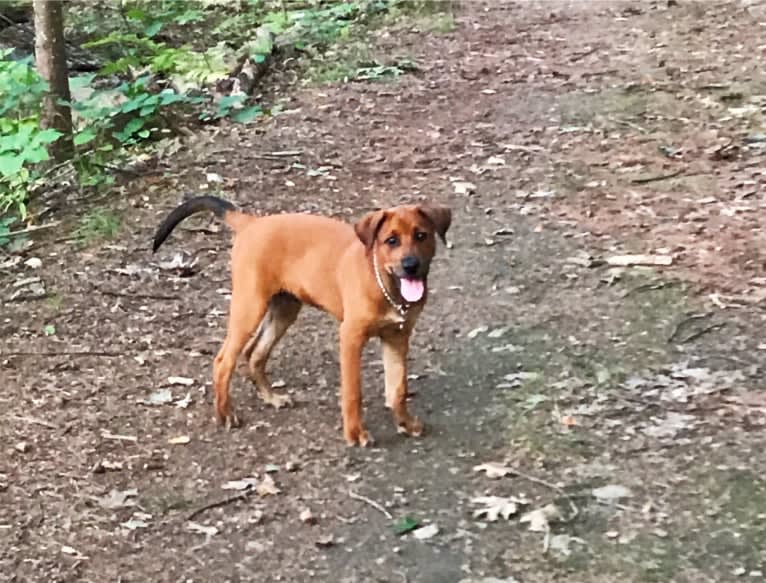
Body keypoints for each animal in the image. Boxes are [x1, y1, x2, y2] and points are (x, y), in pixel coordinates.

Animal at [152, 196, 450, 448]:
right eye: (391, 240)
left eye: (421, 236)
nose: (411, 265)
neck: (386, 285)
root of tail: (251, 222)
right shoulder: (351, 337)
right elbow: (353, 392)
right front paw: (355, 433)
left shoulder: (397, 337)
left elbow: (398, 389)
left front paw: (405, 423)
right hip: (250, 305)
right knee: (224, 360)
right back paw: (226, 413)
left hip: (284, 308)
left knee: (254, 353)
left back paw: (271, 397)